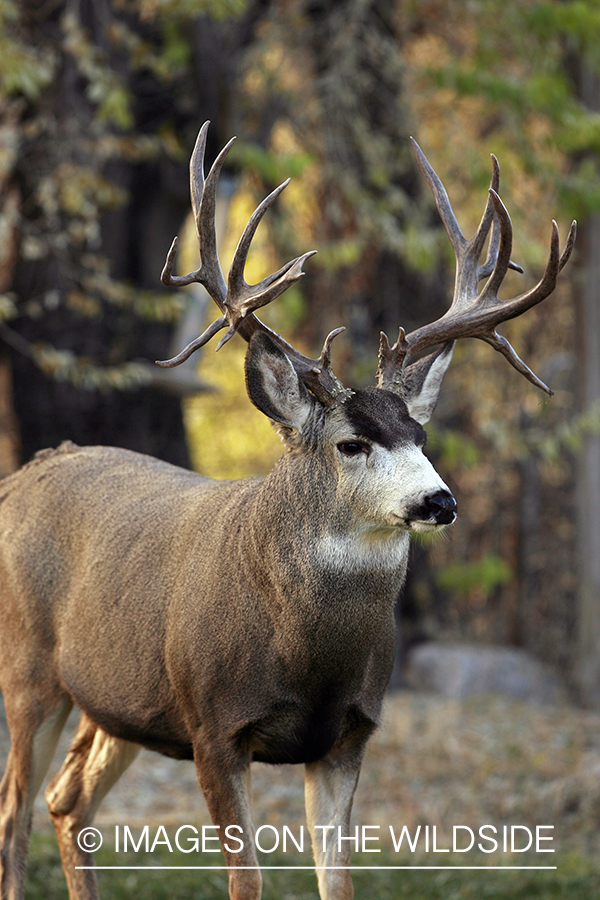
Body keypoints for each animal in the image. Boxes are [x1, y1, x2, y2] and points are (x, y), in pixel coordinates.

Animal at [0, 121, 575, 900]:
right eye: (351, 443)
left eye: (420, 437)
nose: (440, 500)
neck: (310, 652)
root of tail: (25, 472)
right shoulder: (213, 725)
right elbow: (247, 883)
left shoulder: (350, 735)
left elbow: (339, 882)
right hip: (28, 664)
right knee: (16, 811)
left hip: (120, 701)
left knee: (68, 800)